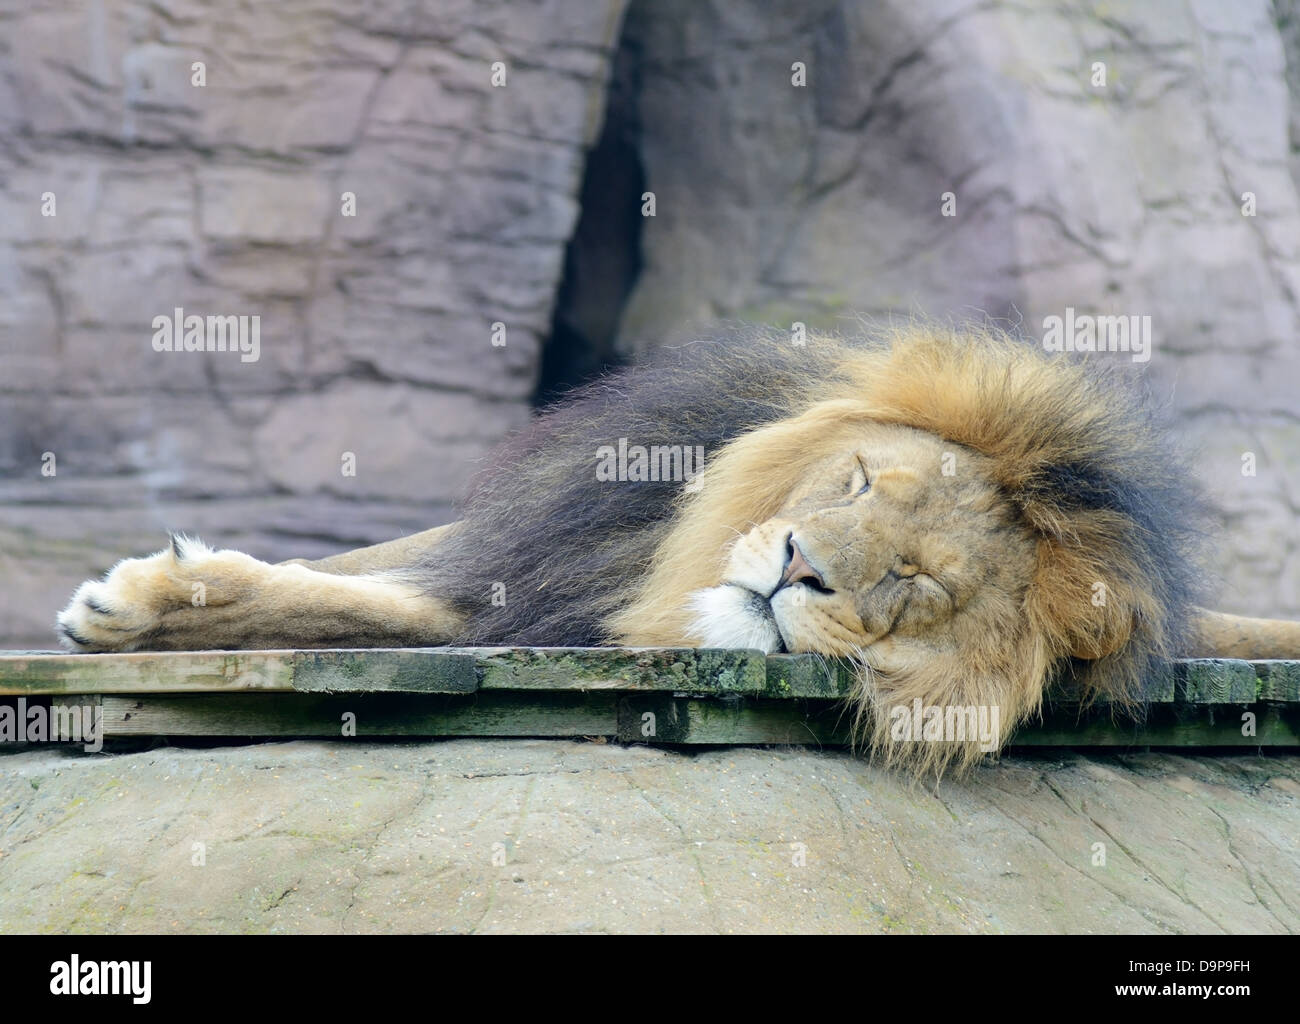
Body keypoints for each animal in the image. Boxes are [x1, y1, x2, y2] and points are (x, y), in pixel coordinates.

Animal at [56, 324, 1300, 775]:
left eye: (914, 580)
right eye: (857, 482)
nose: (797, 563)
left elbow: (353, 601)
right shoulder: (550, 567)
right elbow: (353, 582)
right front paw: (131, 603)